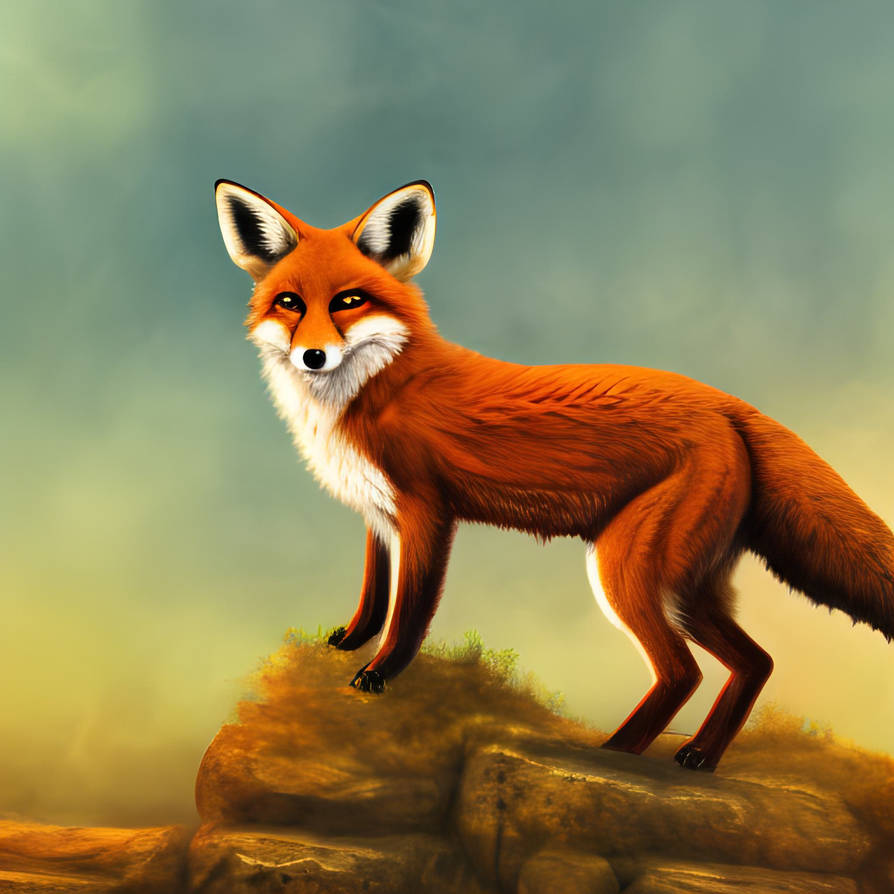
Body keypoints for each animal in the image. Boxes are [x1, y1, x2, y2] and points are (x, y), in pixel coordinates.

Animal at [214, 178, 894, 771]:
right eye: (290, 303)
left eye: (349, 301)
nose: (313, 355)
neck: (371, 393)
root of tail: (728, 404)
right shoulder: (377, 513)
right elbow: (373, 596)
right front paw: (349, 643)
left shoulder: (426, 512)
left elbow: (408, 613)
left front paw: (379, 674)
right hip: (688, 587)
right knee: (757, 662)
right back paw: (699, 755)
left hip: (627, 572)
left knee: (684, 671)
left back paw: (611, 754)